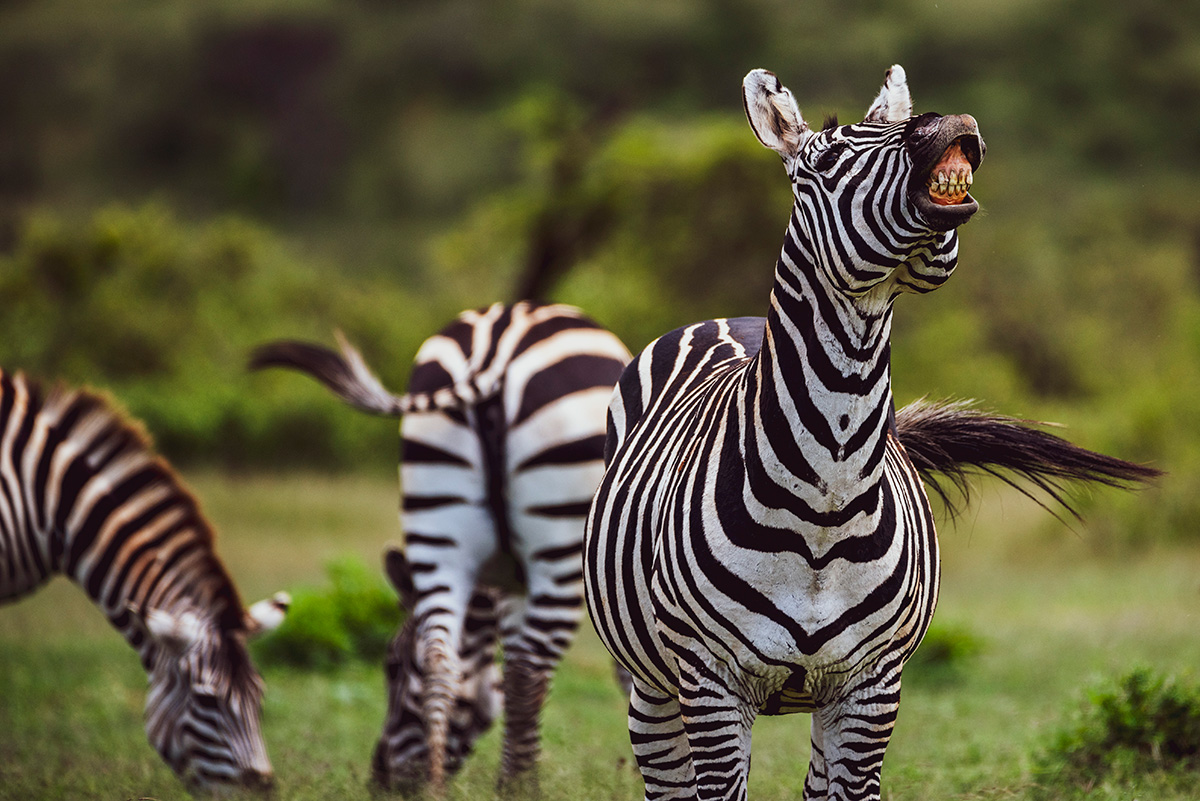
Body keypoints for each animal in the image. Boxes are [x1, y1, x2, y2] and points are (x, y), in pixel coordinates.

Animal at [251, 300, 631, 791]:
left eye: (392, 666)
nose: (382, 782)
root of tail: (497, 344)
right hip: (559, 543)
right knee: (529, 670)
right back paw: (521, 787)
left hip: (436, 515)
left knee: (441, 659)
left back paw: (448, 787)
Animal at [583, 66, 1160, 801]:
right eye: (825, 159)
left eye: (901, 128)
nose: (951, 123)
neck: (825, 498)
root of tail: (730, 319)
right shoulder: (712, 684)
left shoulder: (871, 686)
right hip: (653, 685)